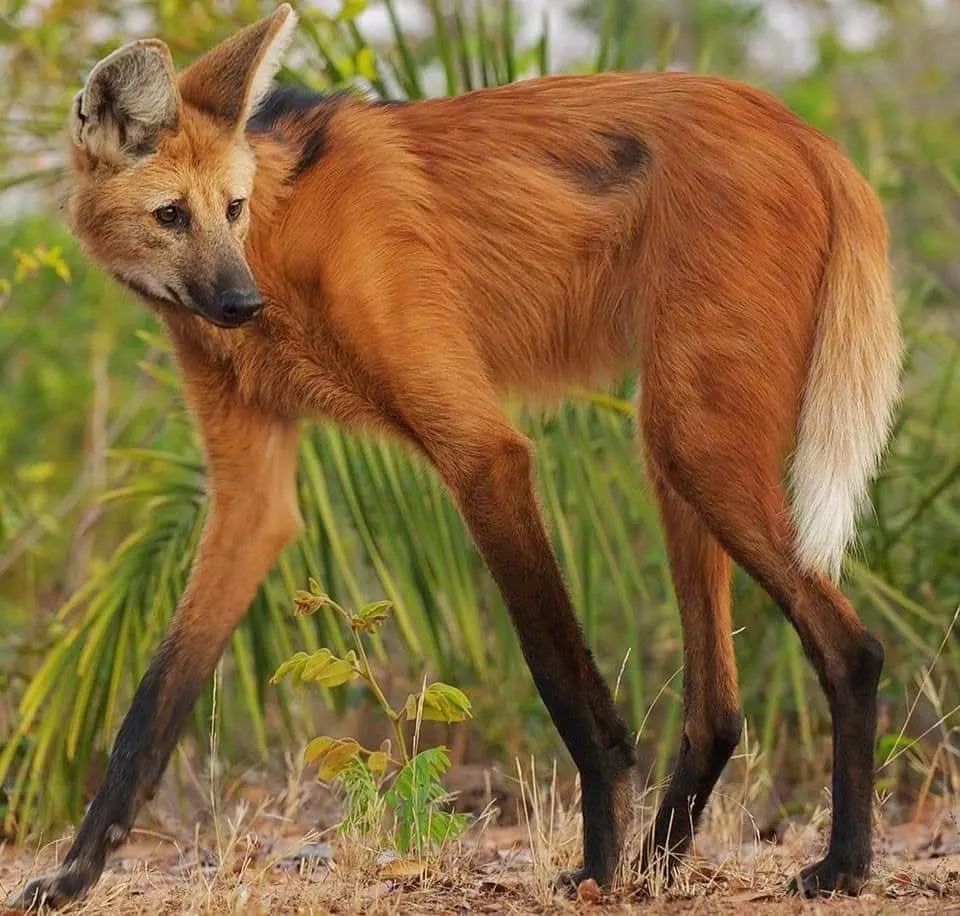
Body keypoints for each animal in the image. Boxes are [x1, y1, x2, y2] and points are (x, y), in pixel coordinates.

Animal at [9, 5, 900, 908]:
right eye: (170, 216)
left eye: (232, 207)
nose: (239, 302)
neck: (284, 242)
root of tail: (807, 135)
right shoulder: (251, 499)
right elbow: (153, 702)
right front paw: (74, 874)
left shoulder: (483, 451)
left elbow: (558, 674)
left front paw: (596, 865)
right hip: (677, 445)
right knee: (717, 707)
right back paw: (662, 864)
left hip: (696, 444)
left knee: (852, 649)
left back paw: (840, 865)